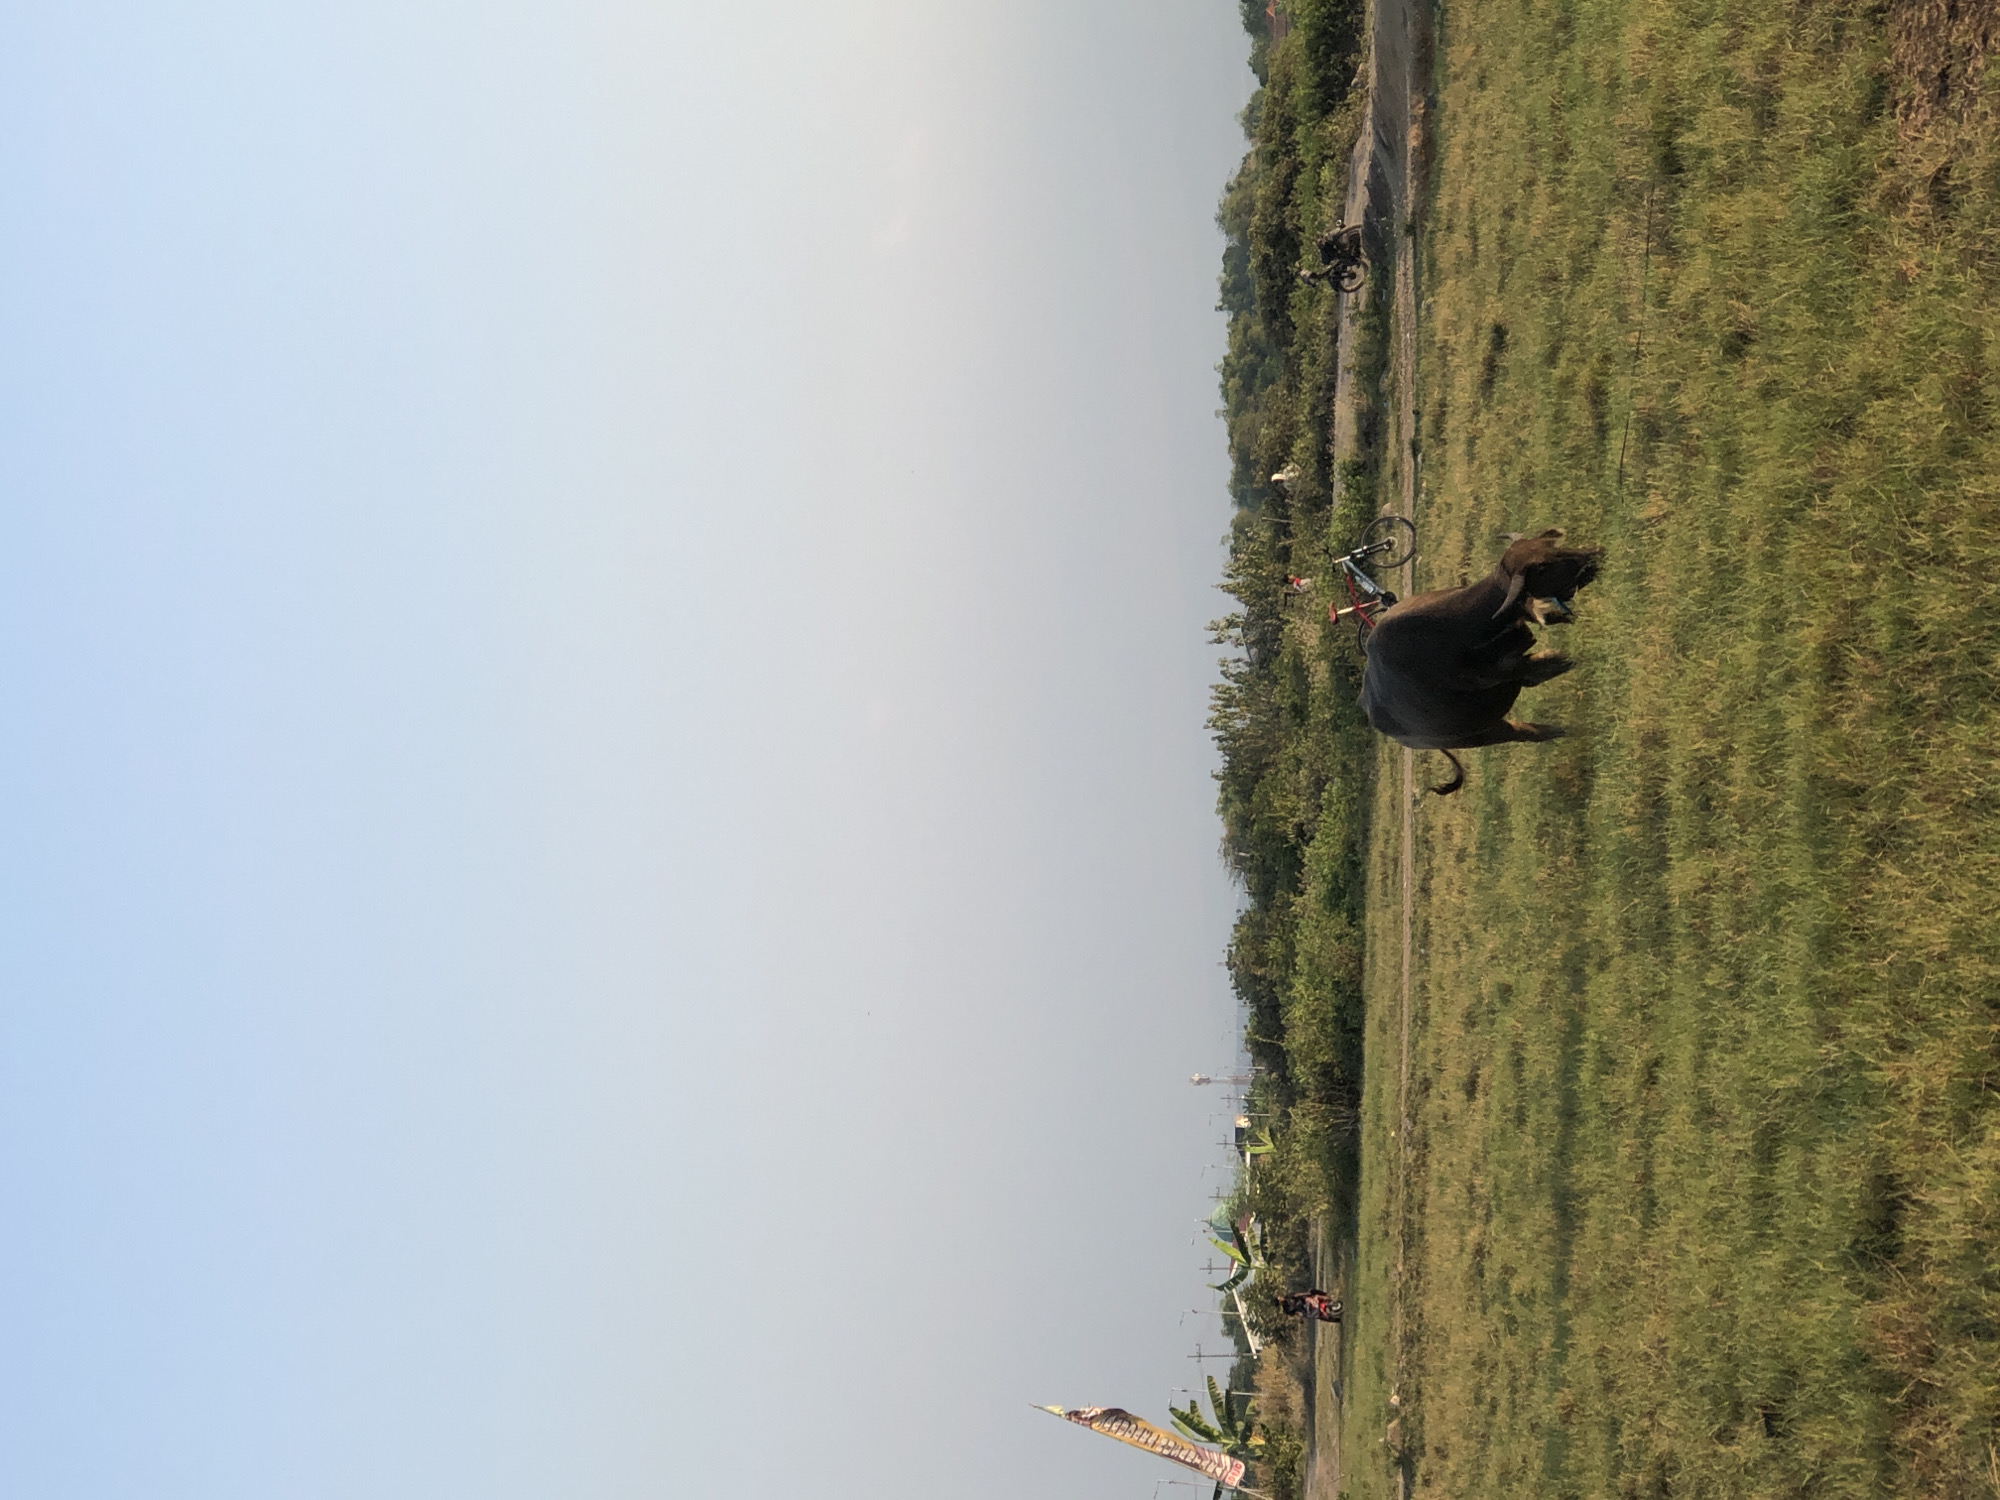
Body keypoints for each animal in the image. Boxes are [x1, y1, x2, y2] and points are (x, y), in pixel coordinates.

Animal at [1359, 529, 1604, 795]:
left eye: (1551, 546)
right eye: (1543, 568)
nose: (1594, 555)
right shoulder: (1502, 672)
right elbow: (1533, 668)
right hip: (1483, 734)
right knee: (1528, 732)